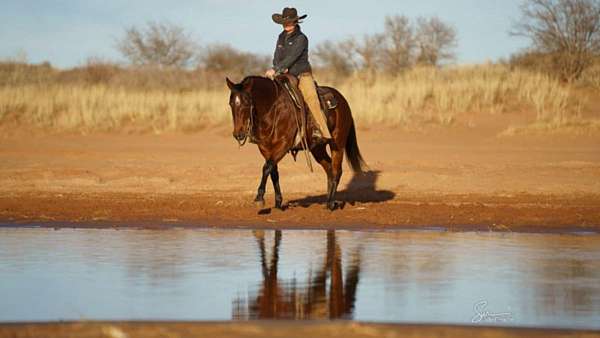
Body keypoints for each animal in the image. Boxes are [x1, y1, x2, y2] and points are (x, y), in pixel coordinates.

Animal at [225, 75, 366, 210]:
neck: (273, 108)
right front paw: (278, 203)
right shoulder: (266, 148)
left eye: (246, 103)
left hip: (337, 143)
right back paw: (328, 201)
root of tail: (343, 101)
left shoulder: (284, 144)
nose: (238, 134)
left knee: (337, 170)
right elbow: (273, 171)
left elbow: (266, 168)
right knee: (329, 168)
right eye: (231, 103)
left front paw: (259, 198)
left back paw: (331, 203)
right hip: (318, 149)